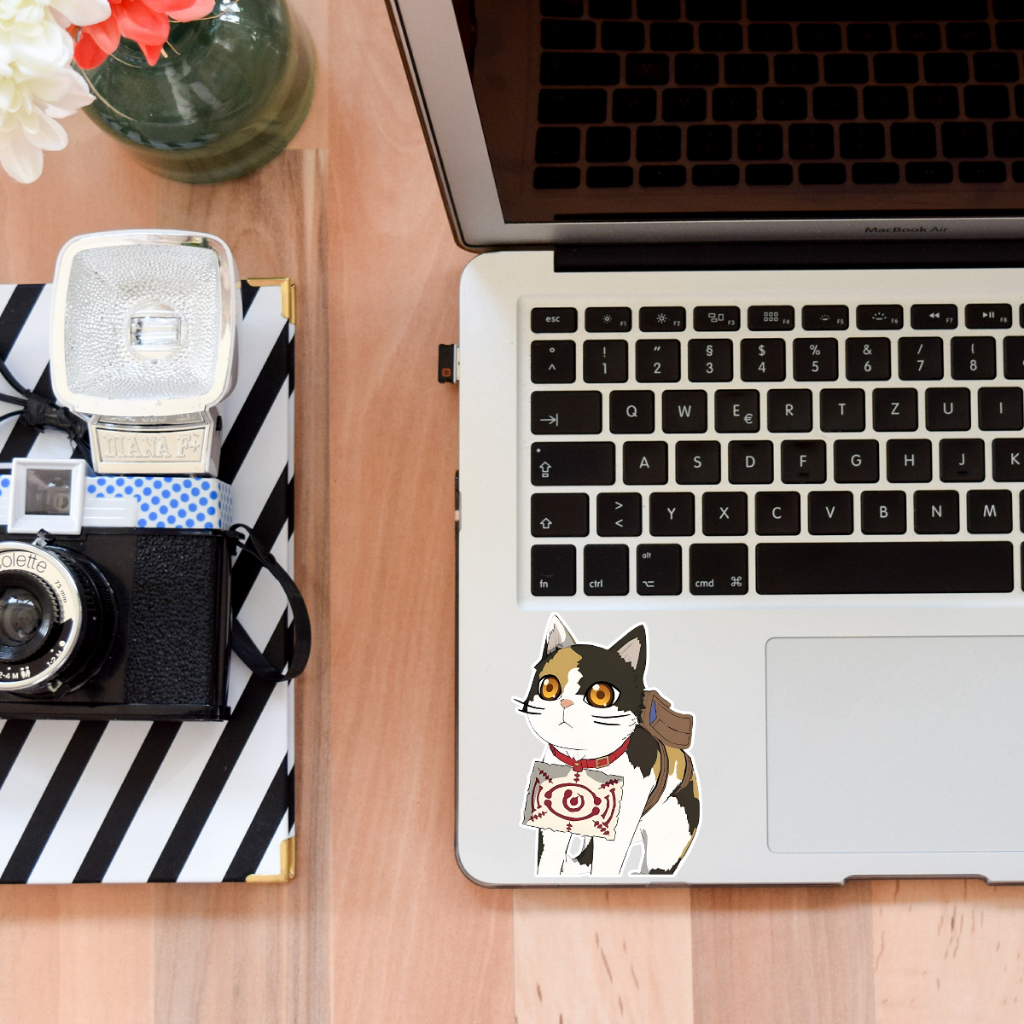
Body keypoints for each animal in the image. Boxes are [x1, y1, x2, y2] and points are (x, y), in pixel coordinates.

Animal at [517, 614, 700, 878]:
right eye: (548, 687)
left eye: (600, 694)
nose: (565, 702)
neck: (582, 760)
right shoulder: (550, 819)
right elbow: (548, 859)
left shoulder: (620, 825)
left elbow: (605, 864)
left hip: (670, 836)